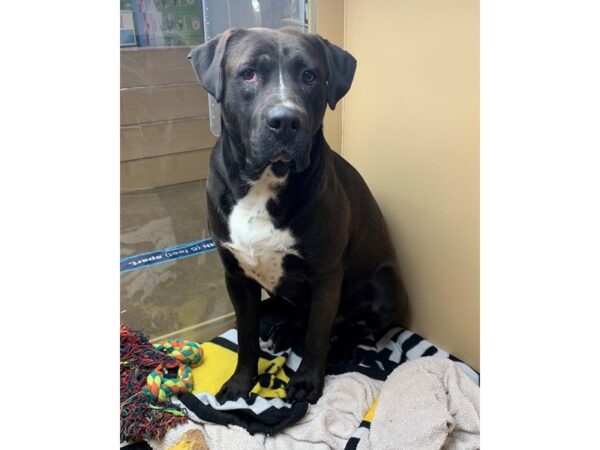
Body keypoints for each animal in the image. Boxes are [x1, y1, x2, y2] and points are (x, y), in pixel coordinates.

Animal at [190, 29, 410, 406]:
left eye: (310, 76)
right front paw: (241, 382)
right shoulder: (236, 276)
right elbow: (246, 336)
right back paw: (283, 329)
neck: (263, 184)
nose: (285, 121)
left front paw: (307, 384)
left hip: (386, 287)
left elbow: (317, 337)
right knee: (298, 313)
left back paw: (341, 347)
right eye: (248, 73)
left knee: (353, 327)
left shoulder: (326, 276)